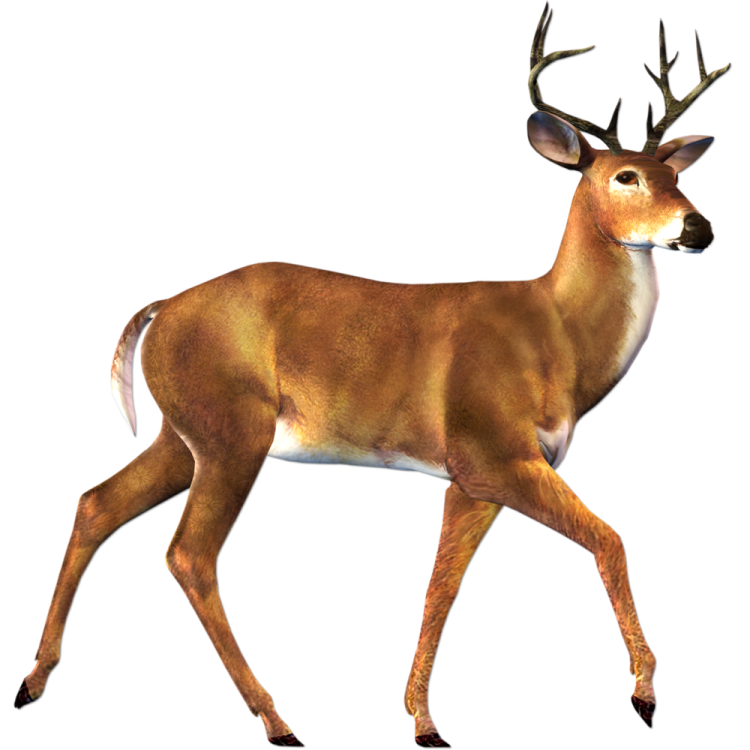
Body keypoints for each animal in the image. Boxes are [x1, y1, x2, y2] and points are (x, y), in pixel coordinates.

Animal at [14, 2, 729, 745]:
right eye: (625, 177)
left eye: (677, 175)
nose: (699, 228)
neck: (556, 334)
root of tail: (158, 308)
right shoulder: (493, 451)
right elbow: (609, 539)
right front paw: (644, 692)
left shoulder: (471, 481)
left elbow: (440, 587)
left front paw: (422, 719)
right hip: (231, 430)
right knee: (188, 553)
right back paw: (276, 718)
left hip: (182, 430)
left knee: (95, 502)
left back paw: (32, 682)